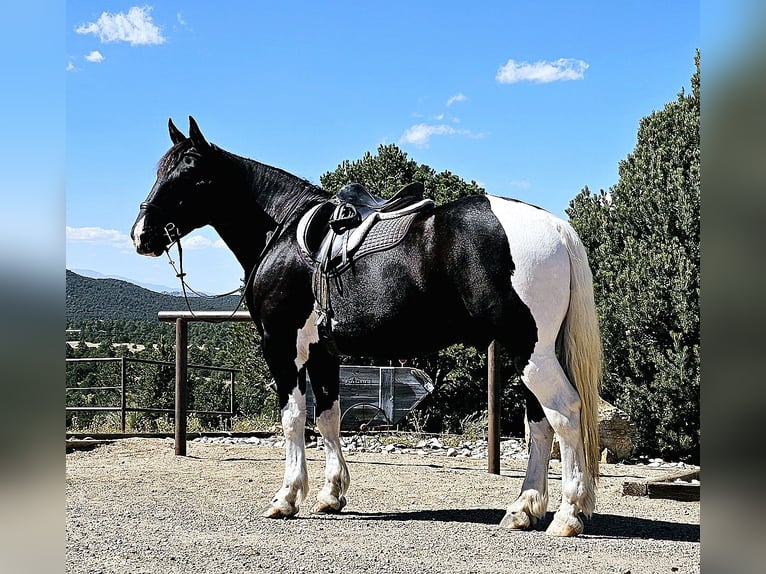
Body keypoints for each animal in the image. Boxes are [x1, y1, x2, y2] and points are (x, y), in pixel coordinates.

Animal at [130, 117, 608, 540]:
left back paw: (568, 516)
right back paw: (524, 509)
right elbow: (327, 417)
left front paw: (287, 497)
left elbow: (292, 418)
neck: (282, 232)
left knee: (565, 414)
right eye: (160, 169)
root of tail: (556, 227)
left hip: (529, 352)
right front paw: (330, 494)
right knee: (540, 425)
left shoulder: (282, 346)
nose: (140, 235)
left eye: (189, 172)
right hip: (528, 353)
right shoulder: (322, 352)